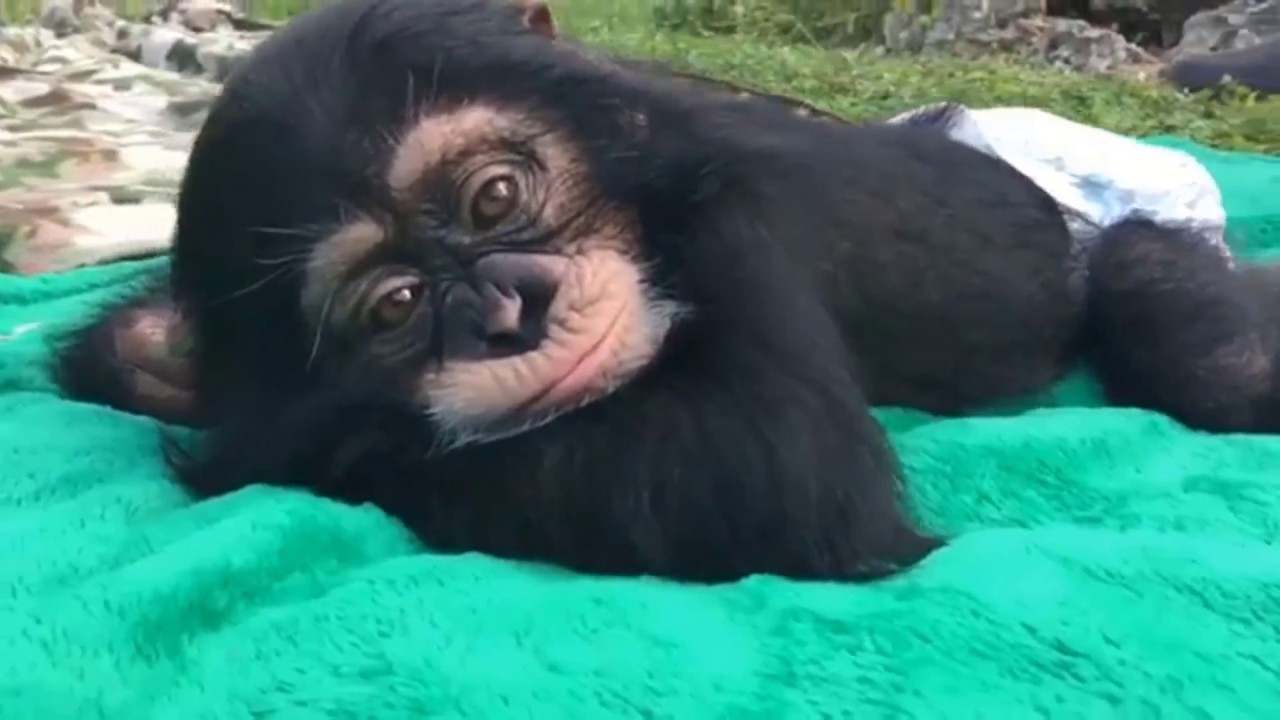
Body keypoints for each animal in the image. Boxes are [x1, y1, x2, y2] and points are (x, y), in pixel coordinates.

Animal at [49, 0, 1280, 584]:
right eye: (395, 307)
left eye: (495, 198)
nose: (509, 309)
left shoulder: (738, 215)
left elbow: (773, 467)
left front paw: (337, 443)